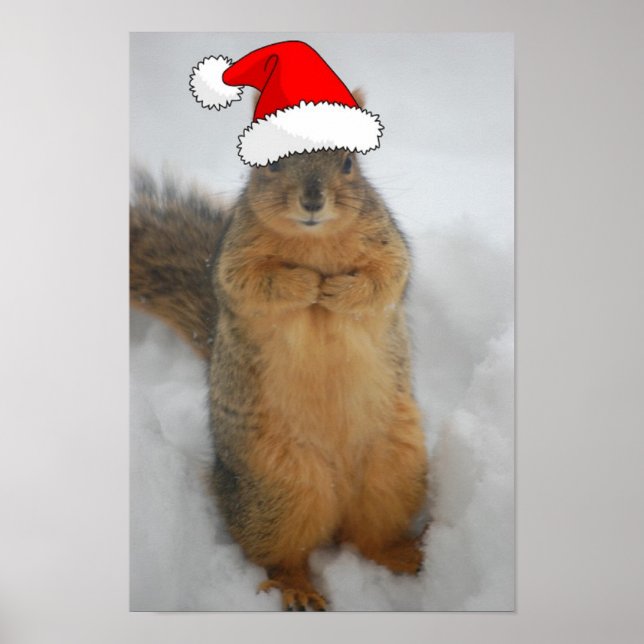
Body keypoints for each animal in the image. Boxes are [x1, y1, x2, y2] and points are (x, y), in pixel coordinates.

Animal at [130, 141, 429, 611]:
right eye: (268, 163)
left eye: (349, 162)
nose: (313, 200)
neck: (314, 240)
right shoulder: (235, 259)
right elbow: (253, 284)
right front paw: (305, 284)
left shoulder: (387, 244)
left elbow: (384, 279)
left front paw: (336, 290)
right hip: (278, 489)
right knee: (279, 555)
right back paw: (298, 589)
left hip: (395, 470)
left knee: (370, 539)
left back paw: (406, 554)